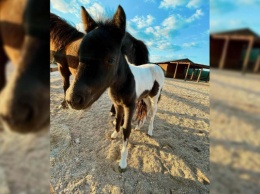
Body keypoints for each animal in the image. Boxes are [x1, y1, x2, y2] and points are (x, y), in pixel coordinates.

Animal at [66, 5, 164, 171]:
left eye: (111, 59)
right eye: (79, 56)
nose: (73, 100)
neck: (122, 83)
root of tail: (157, 67)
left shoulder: (129, 106)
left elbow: (126, 128)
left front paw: (123, 163)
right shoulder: (118, 105)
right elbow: (118, 121)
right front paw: (114, 135)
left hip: (155, 96)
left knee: (153, 112)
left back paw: (150, 131)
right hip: (145, 96)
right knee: (147, 109)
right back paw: (140, 127)